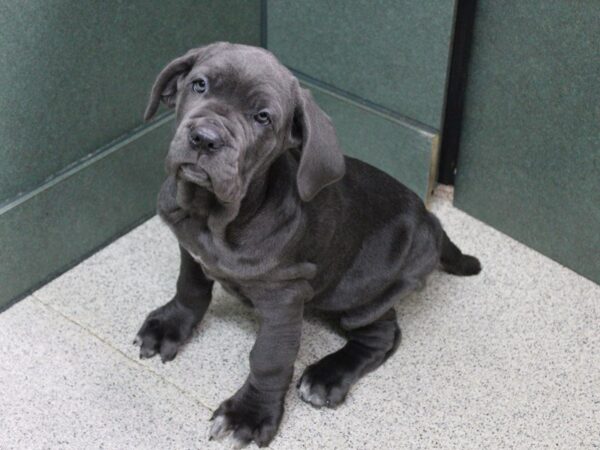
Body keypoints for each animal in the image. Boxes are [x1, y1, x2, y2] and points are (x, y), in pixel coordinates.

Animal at [136, 41, 482, 446]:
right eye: (199, 85)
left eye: (263, 117)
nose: (204, 138)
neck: (214, 216)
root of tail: (432, 220)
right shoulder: (189, 249)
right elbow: (190, 288)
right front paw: (169, 327)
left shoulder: (284, 297)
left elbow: (269, 358)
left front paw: (249, 414)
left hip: (356, 292)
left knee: (383, 334)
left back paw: (326, 376)